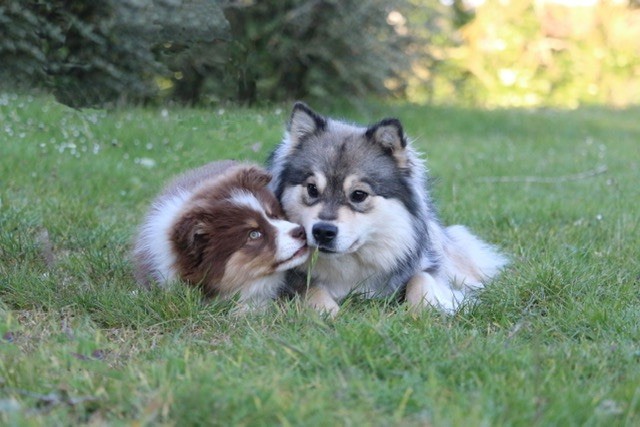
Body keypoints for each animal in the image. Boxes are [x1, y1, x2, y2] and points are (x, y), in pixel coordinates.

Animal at [268, 101, 508, 314]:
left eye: (358, 195)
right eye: (312, 189)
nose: (323, 232)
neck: (350, 263)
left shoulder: (426, 266)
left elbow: (420, 279)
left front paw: (423, 311)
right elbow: (311, 289)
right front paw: (327, 312)